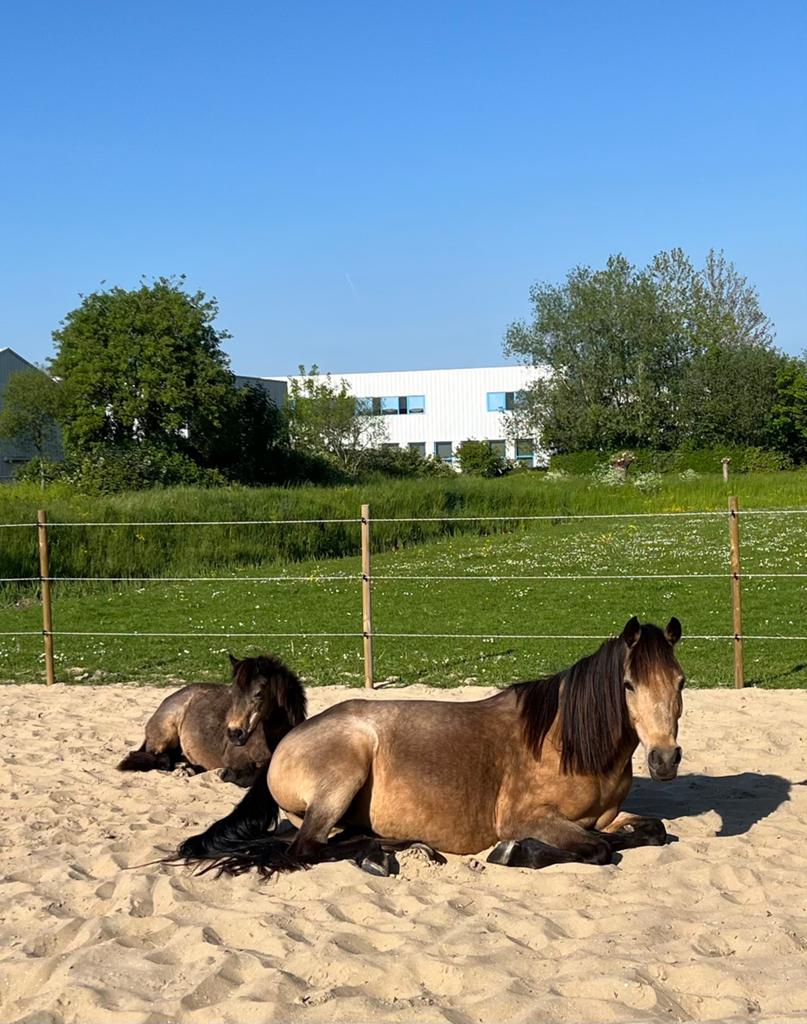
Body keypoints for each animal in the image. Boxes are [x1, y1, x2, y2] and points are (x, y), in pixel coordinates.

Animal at [118, 653, 307, 785]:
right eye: (232, 691)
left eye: (259, 694)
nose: (234, 734)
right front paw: (223, 773)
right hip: (165, 733)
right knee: (159, 758)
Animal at [175, 616, 684, 875]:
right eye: (628, 685)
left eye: (680, 681)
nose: (664, 760)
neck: (570, 741)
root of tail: (288, 740)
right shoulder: (523, 818)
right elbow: (596, 849)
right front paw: (516, 852)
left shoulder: (607, 815)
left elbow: (652, 830)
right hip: (343, 776)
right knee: (304, 849)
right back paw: (386, 852)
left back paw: (391, 847)